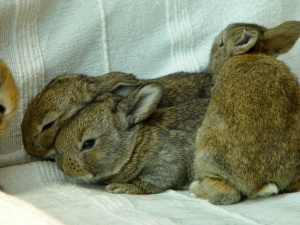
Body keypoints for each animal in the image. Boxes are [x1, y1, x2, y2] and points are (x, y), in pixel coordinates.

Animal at [54, 81, 209, 194]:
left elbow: (150, 183)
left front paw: (120, 187)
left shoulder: (165, 163)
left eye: (88, 143)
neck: (134, 146)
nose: (61, 166)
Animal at [190, 21, 300, 206]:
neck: (249, 55)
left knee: (225, 192)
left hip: (207, 151)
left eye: (221, 43)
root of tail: (259, 186)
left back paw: (195, 188)